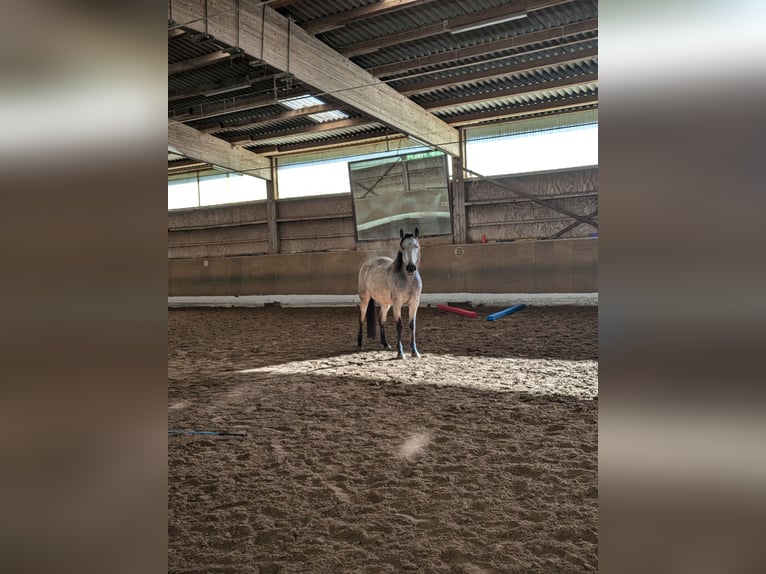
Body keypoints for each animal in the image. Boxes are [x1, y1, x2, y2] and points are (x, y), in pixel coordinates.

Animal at [360, 228, 426, 360]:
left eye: (416, 246)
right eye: (402, 247)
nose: (411, 268)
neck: (408, 281)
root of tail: (367, 264)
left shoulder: (414, 303)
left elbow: (412, 325)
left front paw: (415, 352)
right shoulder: (397, 304)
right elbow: (399, 326)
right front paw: (400, 353)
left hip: (386, 303)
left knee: (382, 320)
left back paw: (385, 344)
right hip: (364, 298)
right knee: (361, 318)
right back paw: (359, 343)